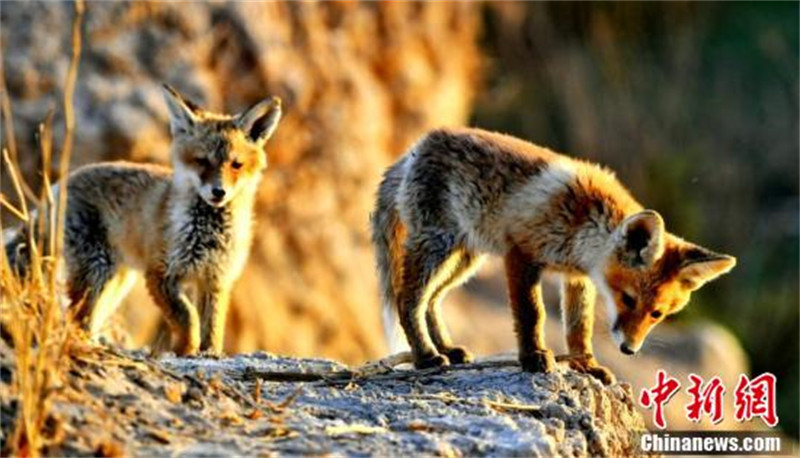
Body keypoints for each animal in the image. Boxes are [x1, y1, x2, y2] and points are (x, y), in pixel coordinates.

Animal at [3, 87, 282, 358]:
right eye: (202, 161)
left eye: (236, 165)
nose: (219, 192)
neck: (208, 233)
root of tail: (60, 184)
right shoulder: (160, 272)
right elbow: (187, 317)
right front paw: (185, 350)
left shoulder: (216, 278)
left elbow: (212, 324)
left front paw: (210, 353)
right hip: (97, 269)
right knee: (77, 316)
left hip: (117, 280)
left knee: (88, 317)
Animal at [376, 126, 736, 382]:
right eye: (628, 299)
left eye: (657, 314)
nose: (629, 349)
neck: (583, 231)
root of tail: (416, 147)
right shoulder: (520, 254)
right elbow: (532, 314)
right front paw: (534, 356)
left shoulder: (576, 277)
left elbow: (579, 326)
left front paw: (585, 364)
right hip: (437, 247)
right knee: (407, 300)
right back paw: (425, 357)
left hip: (465, 258)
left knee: (432, 301)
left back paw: (447, 349)